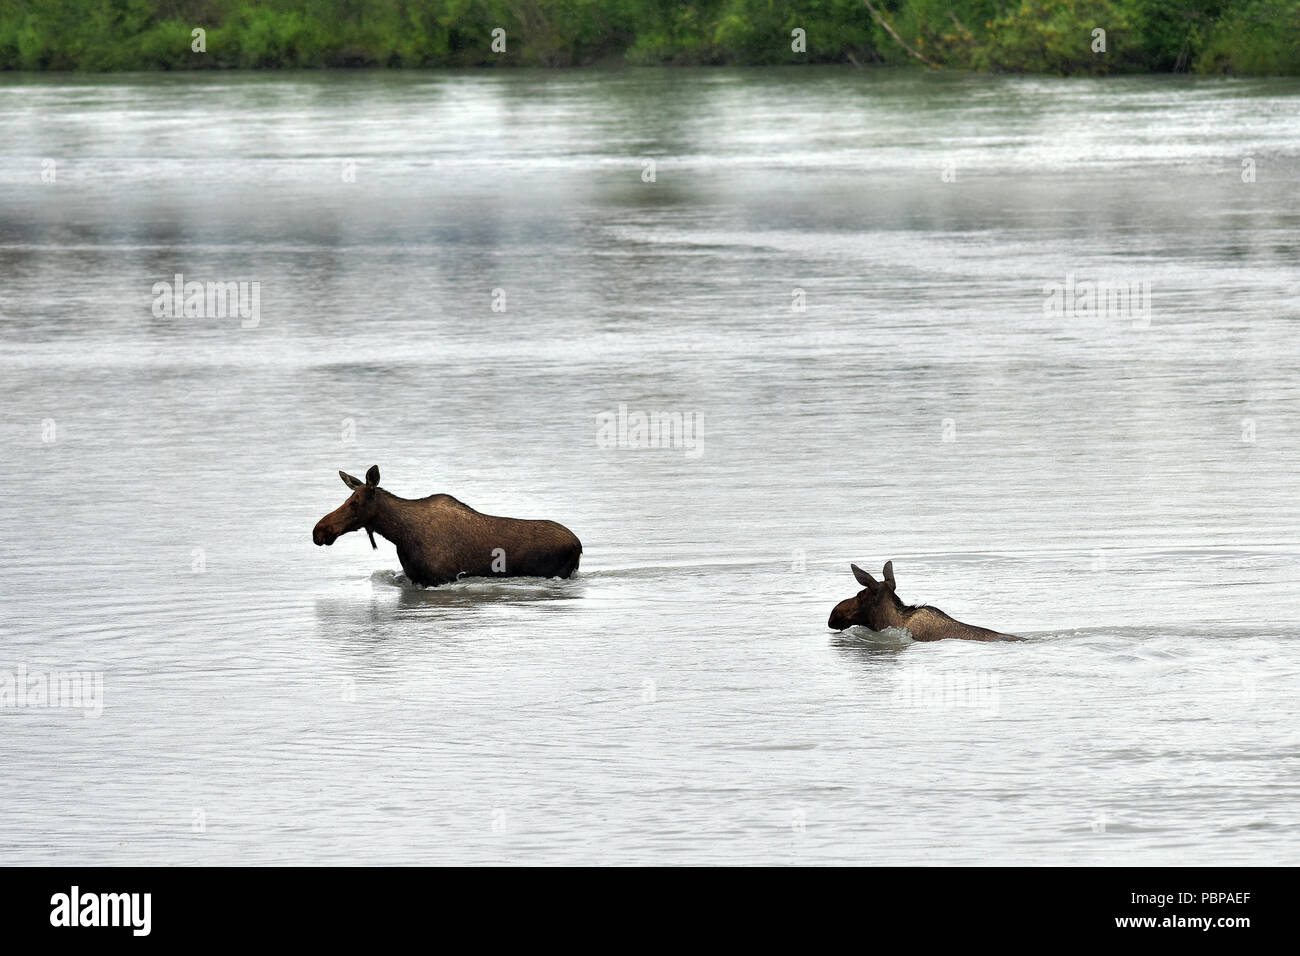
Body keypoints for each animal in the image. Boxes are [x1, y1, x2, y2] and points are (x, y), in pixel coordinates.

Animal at [312, 468, 582, 587]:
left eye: (354, 502)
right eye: (348, 499)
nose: (319, 531)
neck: (399, 534)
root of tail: (579, 545)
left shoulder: (440, 579)